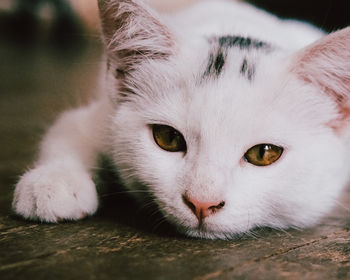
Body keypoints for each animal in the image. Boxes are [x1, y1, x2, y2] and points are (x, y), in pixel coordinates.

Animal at [12, 0, 350, 240]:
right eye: (168, 138)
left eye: (264, 153)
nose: (202, 202)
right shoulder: (104, 112)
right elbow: (69, 128)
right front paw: (52, 181)